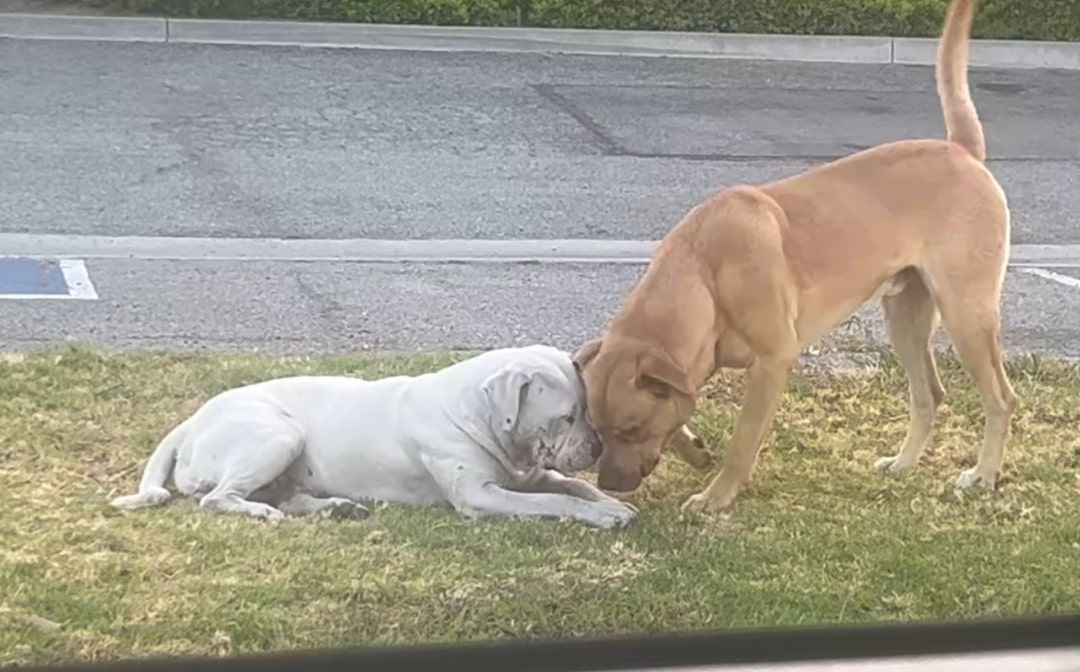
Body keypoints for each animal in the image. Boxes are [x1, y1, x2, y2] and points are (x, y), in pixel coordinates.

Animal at [107, 347, 639, 531]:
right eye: (565, 417)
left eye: (587, 410)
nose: (598, 448)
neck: (479, 413)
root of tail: (190, 421)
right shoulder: (482, 495)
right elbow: (556, 500)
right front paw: (604, 516)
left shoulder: (529, 474)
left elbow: (573, 486)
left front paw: (612, 503)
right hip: (277, 434)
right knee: (217, 498)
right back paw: (262, 513)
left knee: (286, 495)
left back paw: (335, 508)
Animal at [578, 0, 1015, 516]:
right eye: (598, 428)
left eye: (631, 429)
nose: (608, 484)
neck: (703, 275)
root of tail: (963, 152)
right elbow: (683, 406)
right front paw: (693, 450)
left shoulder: (772, 362)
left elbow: (742, 443)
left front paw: (715, 496)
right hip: (905, 317)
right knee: (930, 393)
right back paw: (905, 462)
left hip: (967, 315)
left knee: (1000, 399)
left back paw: (984, 475)